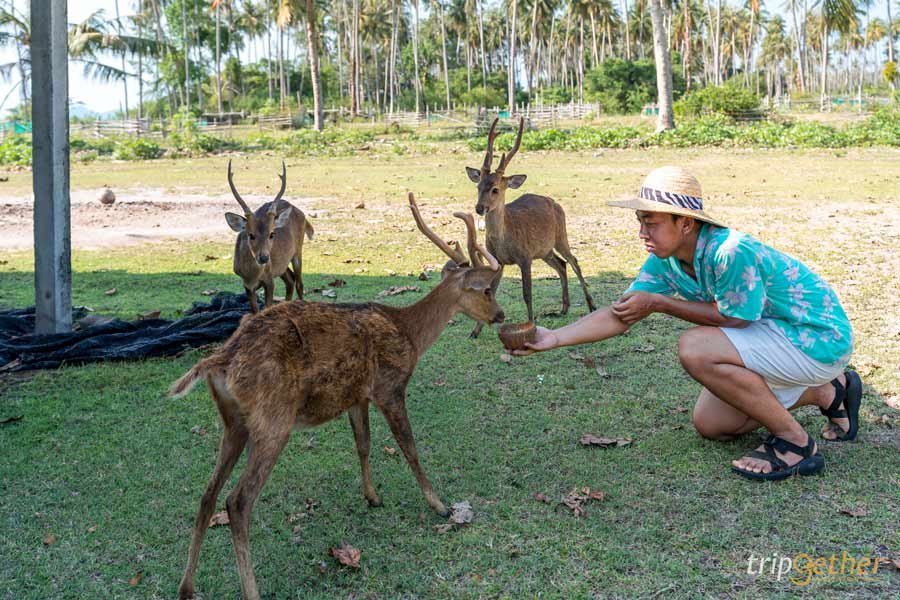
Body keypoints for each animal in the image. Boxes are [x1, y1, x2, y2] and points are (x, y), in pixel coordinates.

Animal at [170, 192, 506, 600]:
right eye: (487, 290)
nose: (501, 315)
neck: (410, 334)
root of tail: (221, 358)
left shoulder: (356, 396)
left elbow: (363, 443)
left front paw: (372, 497)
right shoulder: (390, 386)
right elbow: (409, 447)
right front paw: (440, 506)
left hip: (234, 422)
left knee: (206, 494)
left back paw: (186, 587)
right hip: (273, 420)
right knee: (237, 502)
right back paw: (251, 590)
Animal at [223, 159, 314, 314]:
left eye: (272, 234)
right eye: (250, 235)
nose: (264, 258)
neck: (252, 275)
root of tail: (299, 211)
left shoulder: (269, 279)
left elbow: (267, 308)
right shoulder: (247, 285)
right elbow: (255, 311)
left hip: (298, 250)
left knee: (299, 283)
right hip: (281, 264)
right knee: (290, 280)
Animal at [464, 118, 596, 340]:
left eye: (495, 189)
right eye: (478, 186)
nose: (479, 208)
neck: (505, 240)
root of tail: (554, 203)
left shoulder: (525, 257)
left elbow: (527, 293)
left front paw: (531, 325)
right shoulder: (498, 260)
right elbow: (491, 290)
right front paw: (475, 330)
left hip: (561, 235)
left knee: (574, 261)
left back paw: (591, 306)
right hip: (544, 250)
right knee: (561, 265)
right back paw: (563, 308)